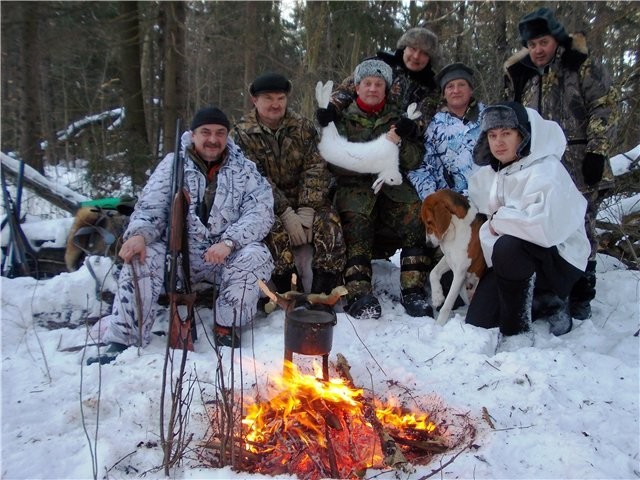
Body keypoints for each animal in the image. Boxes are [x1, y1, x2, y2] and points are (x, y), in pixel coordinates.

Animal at [420, 189, 484, 324]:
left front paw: (438, 325)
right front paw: (437, 296)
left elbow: (447, 305)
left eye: (429, 221)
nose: (428, 244)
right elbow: (433, 273)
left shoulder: (460, 272)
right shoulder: (449, 259)